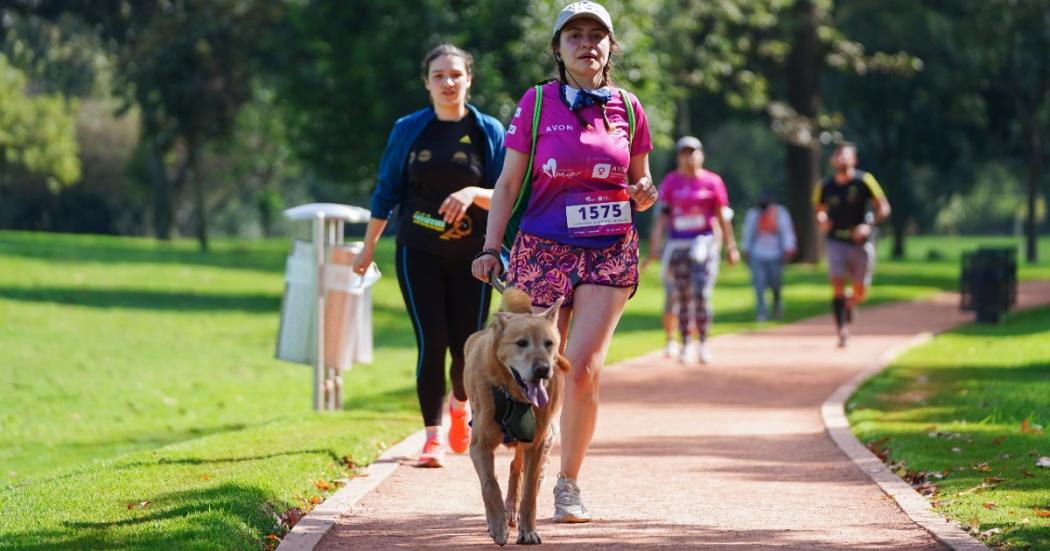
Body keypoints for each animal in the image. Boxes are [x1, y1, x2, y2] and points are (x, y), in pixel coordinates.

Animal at [466, 285, 571, 541]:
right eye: (521, 343)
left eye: (548, 343)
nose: (543, 369)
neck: (513, 395)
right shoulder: (480, 445)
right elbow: (490, 484)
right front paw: (498, 526)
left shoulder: (536, 443)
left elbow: (529, 490)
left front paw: (528, 531)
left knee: (517, 468)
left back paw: (512, 510)